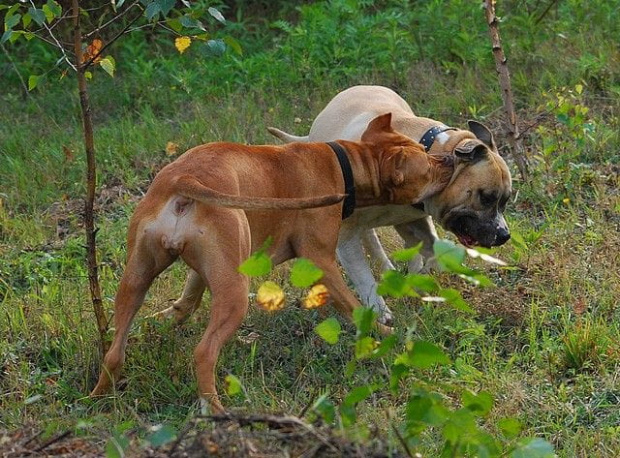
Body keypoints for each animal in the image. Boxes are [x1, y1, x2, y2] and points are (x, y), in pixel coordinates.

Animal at [89, 113, 452, 412]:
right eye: (428, 166)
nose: (449, 158)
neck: (347, 165)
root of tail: (183, 181)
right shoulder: (321, 260)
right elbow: (354, 306)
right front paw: (387, 335)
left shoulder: (208, 269)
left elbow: (189, 294)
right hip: (235, 294)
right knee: (204, 352)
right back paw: (215, 410)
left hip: (136, 280)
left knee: (114, 351)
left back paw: (98, 397)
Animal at [268, 86, 512, 326]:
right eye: (486, 197)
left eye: (506, 200)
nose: (504, 235)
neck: (430, 149)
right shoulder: (346, 237)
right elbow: (362, 275)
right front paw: (378, 309)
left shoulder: (416, 222)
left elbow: (433, 251)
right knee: (371, 242)